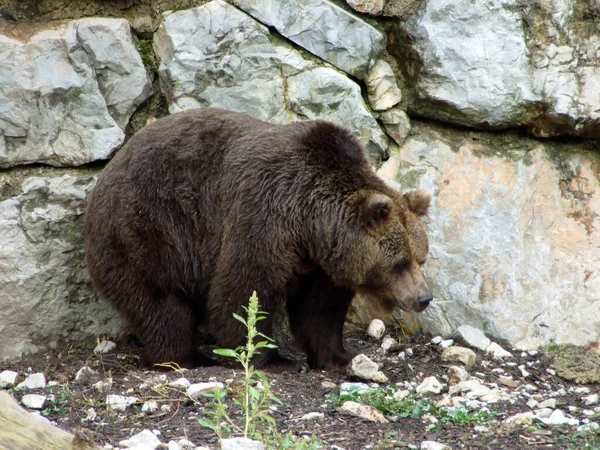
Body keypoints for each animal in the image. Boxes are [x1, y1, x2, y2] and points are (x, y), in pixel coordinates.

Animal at [84, 107, 432, 370]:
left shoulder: (322, 263)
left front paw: (338, 356)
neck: (310, 225)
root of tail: (107, 172)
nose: (424, 297)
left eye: (421, 258)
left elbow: (320, 309)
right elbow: (244, 288)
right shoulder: (265, 213)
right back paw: (185, 357)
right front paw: (275, 359)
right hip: (148, 230)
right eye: (399, 263)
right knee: (161, 301)